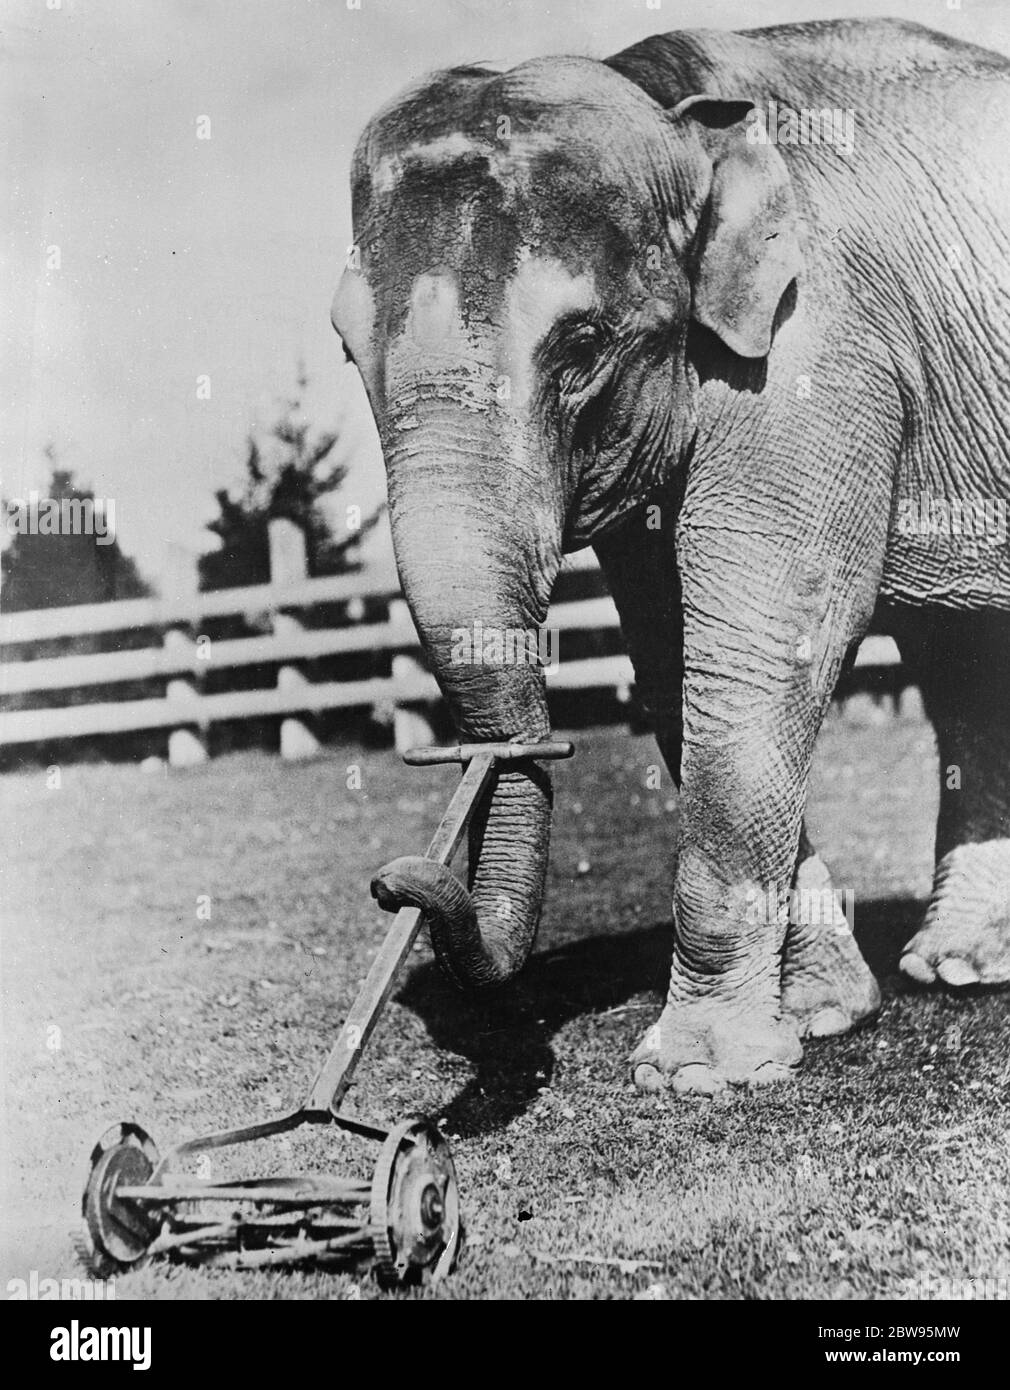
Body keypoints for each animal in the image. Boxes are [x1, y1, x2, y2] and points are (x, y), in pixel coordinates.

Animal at [333, 16, 1010, 1089]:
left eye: (581, 346)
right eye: (347, 348)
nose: (401, 883)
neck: (670, 111)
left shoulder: (820, 346)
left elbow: (761, 641)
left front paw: (698, 1073)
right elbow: (672, 655)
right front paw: (817, 1018)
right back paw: (959, 967)